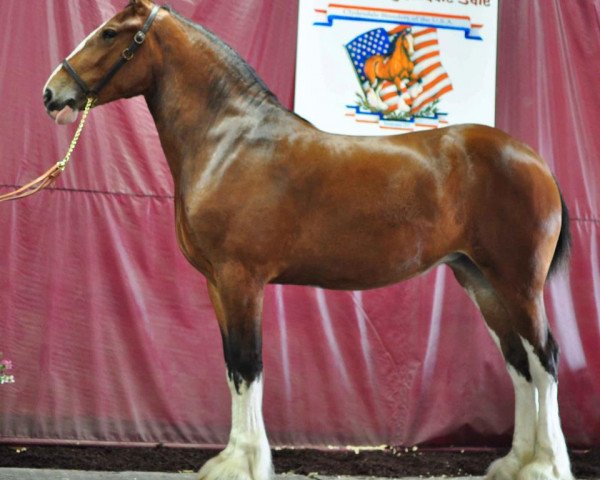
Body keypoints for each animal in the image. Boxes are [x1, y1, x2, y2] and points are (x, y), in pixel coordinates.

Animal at [44, 0, 576, 480]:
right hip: (481, 281)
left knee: (545, 359)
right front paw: (234, 458)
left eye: (110, 33)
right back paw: (514, 463)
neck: (229, 141)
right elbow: (232, 365)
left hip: (518, 284)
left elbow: (248, 363)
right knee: (518, 363)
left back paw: (545, 465)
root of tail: (535, 161)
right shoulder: (218, 284)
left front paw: (242, 463)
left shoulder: (241, 279)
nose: (52, 93)